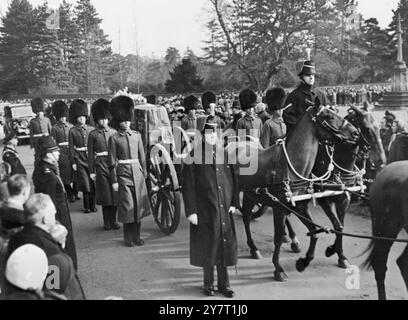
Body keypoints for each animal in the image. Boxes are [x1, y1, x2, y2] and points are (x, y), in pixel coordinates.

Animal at [228, 101, 358, 282]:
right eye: (328, 116)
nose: (355, 133)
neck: (291, 165)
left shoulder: (301, 206)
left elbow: (314, 232)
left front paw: (304, 262)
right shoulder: (280, 208)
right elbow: (277, 239)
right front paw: (278, 269)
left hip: (250, 194)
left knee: (246, 216)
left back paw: (255, 248)